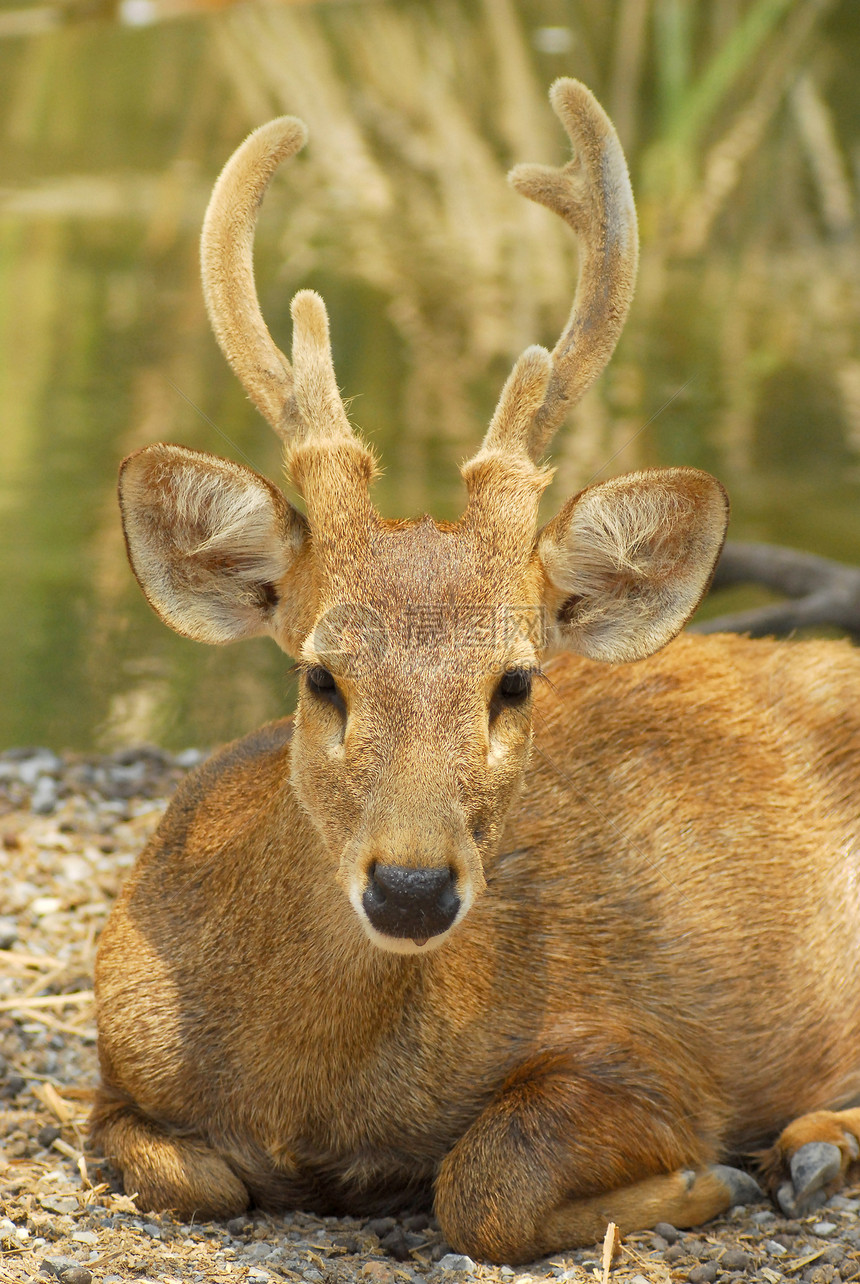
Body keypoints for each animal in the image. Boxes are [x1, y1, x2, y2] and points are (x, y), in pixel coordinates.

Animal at [92, 80, 860, 1263]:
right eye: (321, 676)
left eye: (515, 681)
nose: (411, 887)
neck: (310, 1097)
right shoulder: (110, 1067)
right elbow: (191, 1173)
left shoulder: (649, 1050)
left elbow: (486, 1176)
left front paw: (705, 1182)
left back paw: (810, 1151)